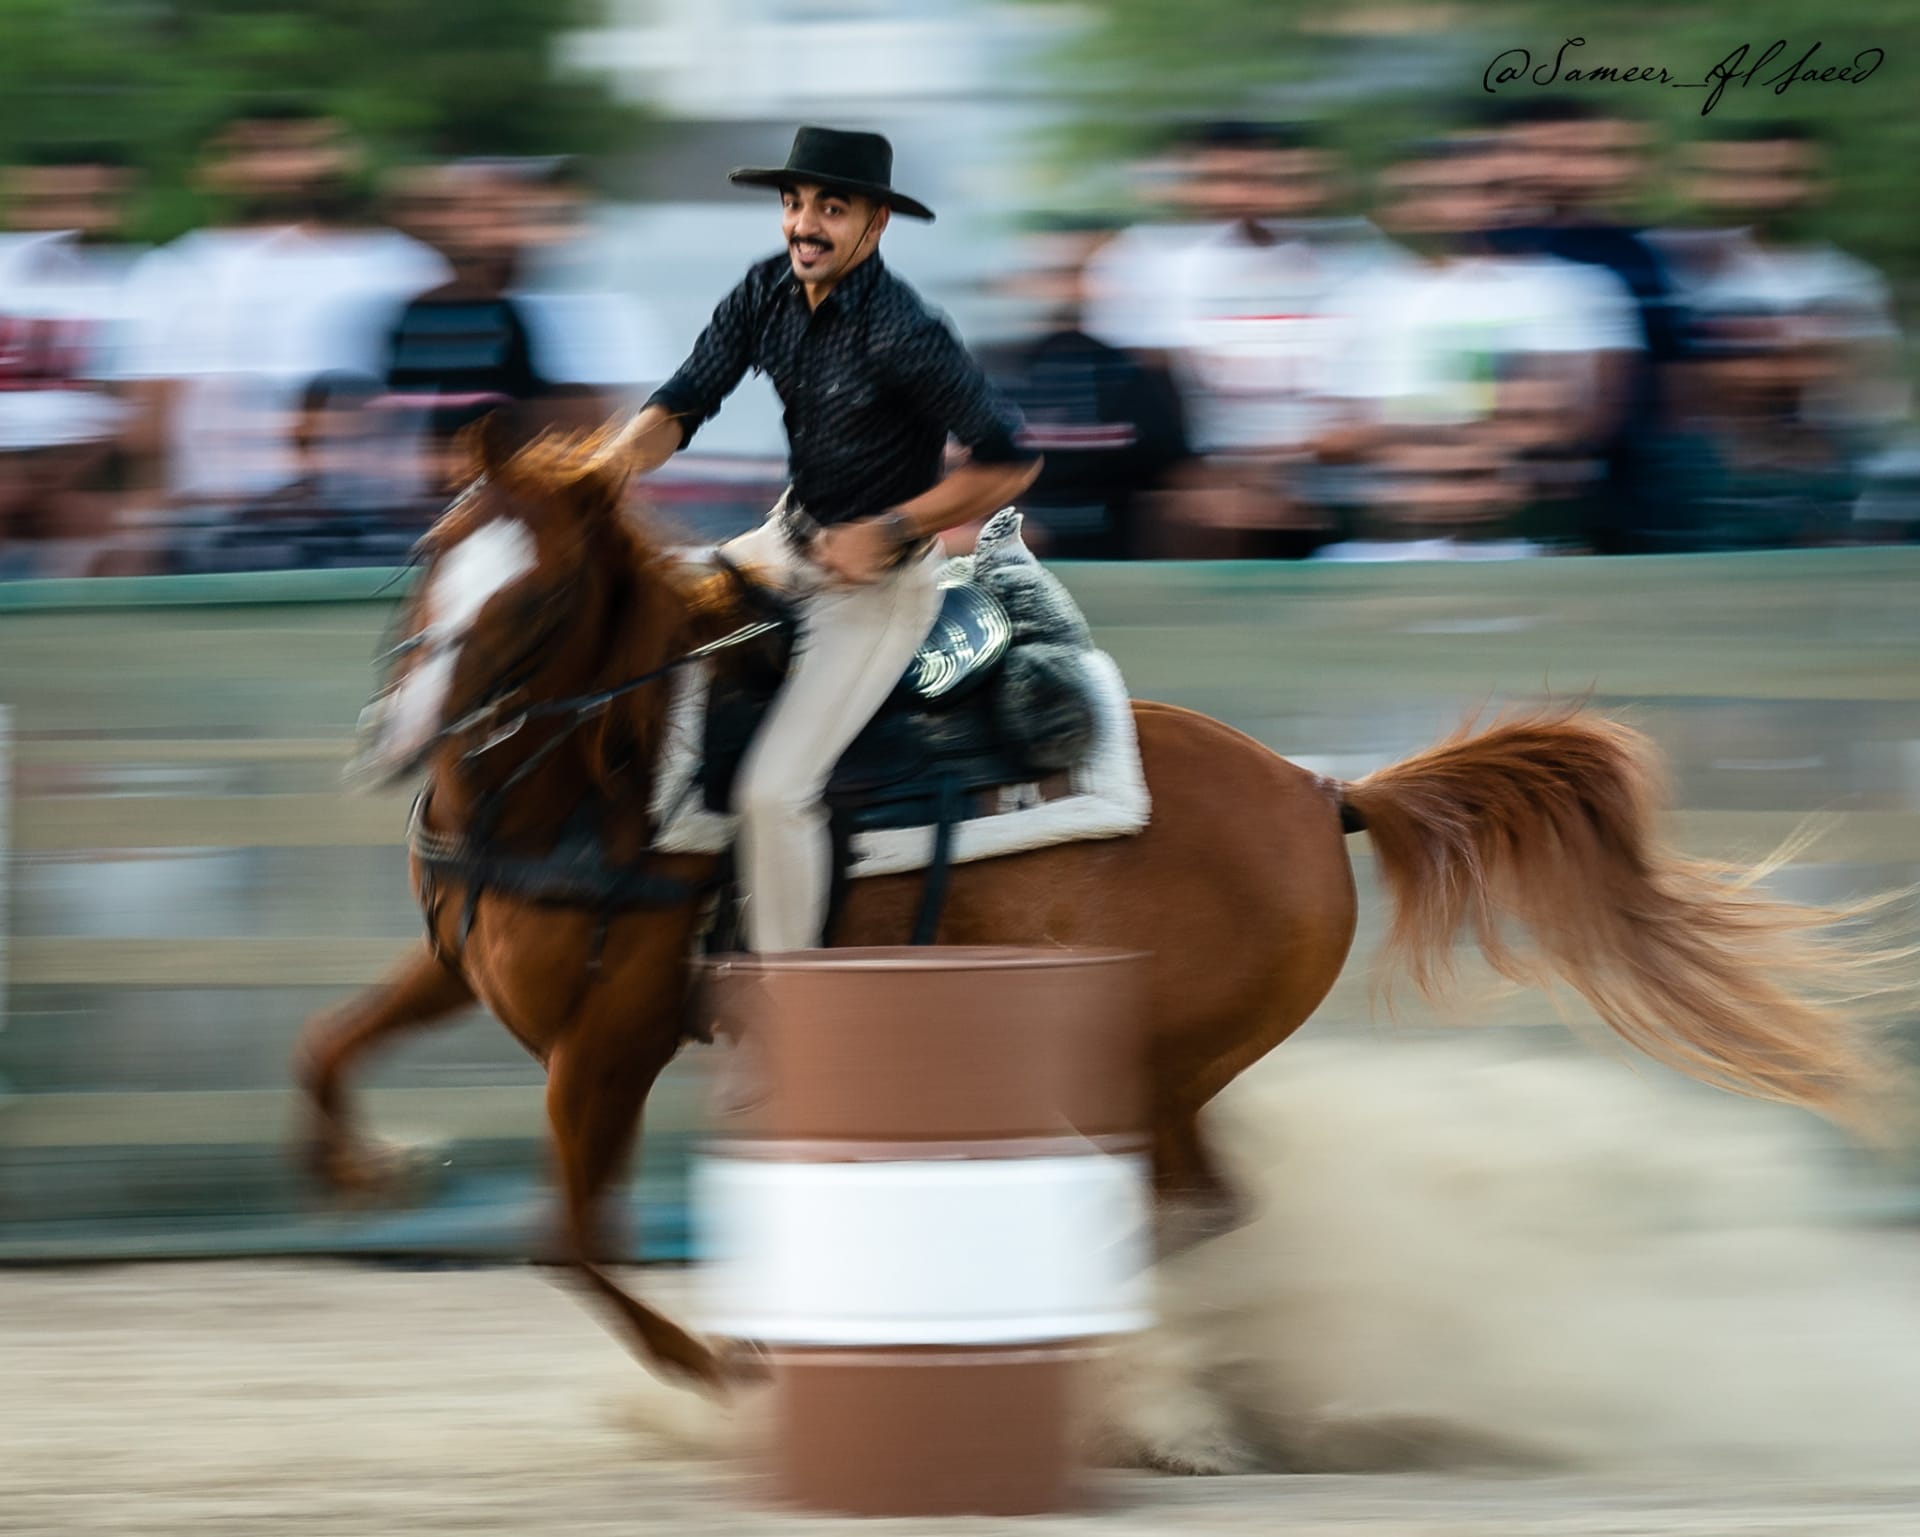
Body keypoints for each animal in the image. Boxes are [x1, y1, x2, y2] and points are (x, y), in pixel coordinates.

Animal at [299, 425, 1889, 1396]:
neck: (615, 775)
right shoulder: (467, 971)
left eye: (528, 602)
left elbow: (570, 1241)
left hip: (1142, 1057)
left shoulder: (613, 1040)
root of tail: (1320, 791)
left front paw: (725, 1368)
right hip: (1154, 1069)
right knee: (1204, 1199)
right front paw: (375, 1171)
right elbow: (329, 1047)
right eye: (430, 554)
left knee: (1193, 1203)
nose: (393, 739)